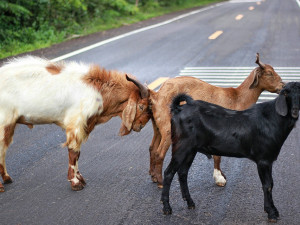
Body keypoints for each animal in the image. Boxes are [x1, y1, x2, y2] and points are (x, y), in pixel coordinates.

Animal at [0, 56, 150, 192]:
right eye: (141, 106)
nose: (140, 126)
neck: (99, 91)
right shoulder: (76, 123)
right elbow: (73, 152)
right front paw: (75, 182)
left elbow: (77, 154)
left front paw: (81, 179)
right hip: (4, 122)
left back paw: (7, 178)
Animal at [149, 53, 284, 187]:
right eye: (269, 73)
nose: (282, 86)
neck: (238, 98)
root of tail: (157, 95)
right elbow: (217, 156)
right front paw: (219, 178)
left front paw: (221, 176)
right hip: (168, 128)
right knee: (159, 153)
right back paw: (161, 182)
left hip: (158, 126)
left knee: (152, 148)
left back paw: (154, 177)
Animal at [162, 81, 300, 222]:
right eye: (286, 93)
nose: (294, 111)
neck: (272, 119)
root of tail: (178, 109)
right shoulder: (263, 160)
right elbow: (267, 184)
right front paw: (271, 212)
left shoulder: (268, 160)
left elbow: (270, 183)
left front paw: (273, 211)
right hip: (181, 146)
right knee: (168, 173)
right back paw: (167, 208)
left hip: (191, 150)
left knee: (182, 173)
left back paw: (190, 202)